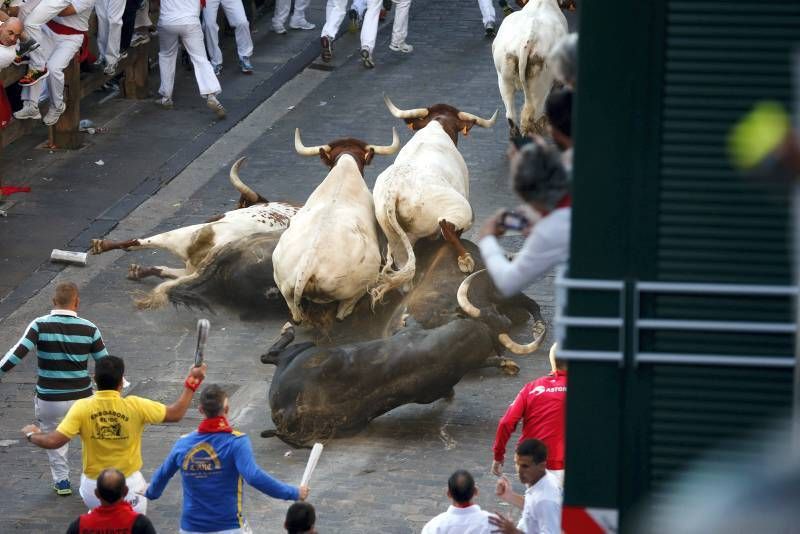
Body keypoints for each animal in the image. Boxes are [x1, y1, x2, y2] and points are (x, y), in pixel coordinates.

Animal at [372, 97, 496, 306]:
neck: (437, 124)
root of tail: (394, 190)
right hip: (461, 208)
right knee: (447, 227)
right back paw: (465, 260)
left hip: (396, 238)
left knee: (404, 271)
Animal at [494, 0, 568, 138]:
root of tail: (528, 37)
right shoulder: (558, 82)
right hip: (540, 87)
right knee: (533, 118)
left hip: (503, 79)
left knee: (511, 117)